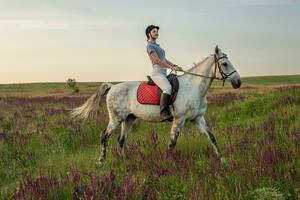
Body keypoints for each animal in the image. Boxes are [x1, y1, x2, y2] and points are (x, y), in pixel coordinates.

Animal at [71, 46, 243, 165]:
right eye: (225, 63)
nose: (238, 82)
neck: (193, 87)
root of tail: (112, 87)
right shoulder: (179, 119)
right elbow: (172, 142)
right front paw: (167, 162)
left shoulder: (198, 118)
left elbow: (212, 137)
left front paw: (222, 158)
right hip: (116, 119)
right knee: (104, 136)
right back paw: (101, 161)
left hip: (129, 119)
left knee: (121, 139)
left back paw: (126, 159)